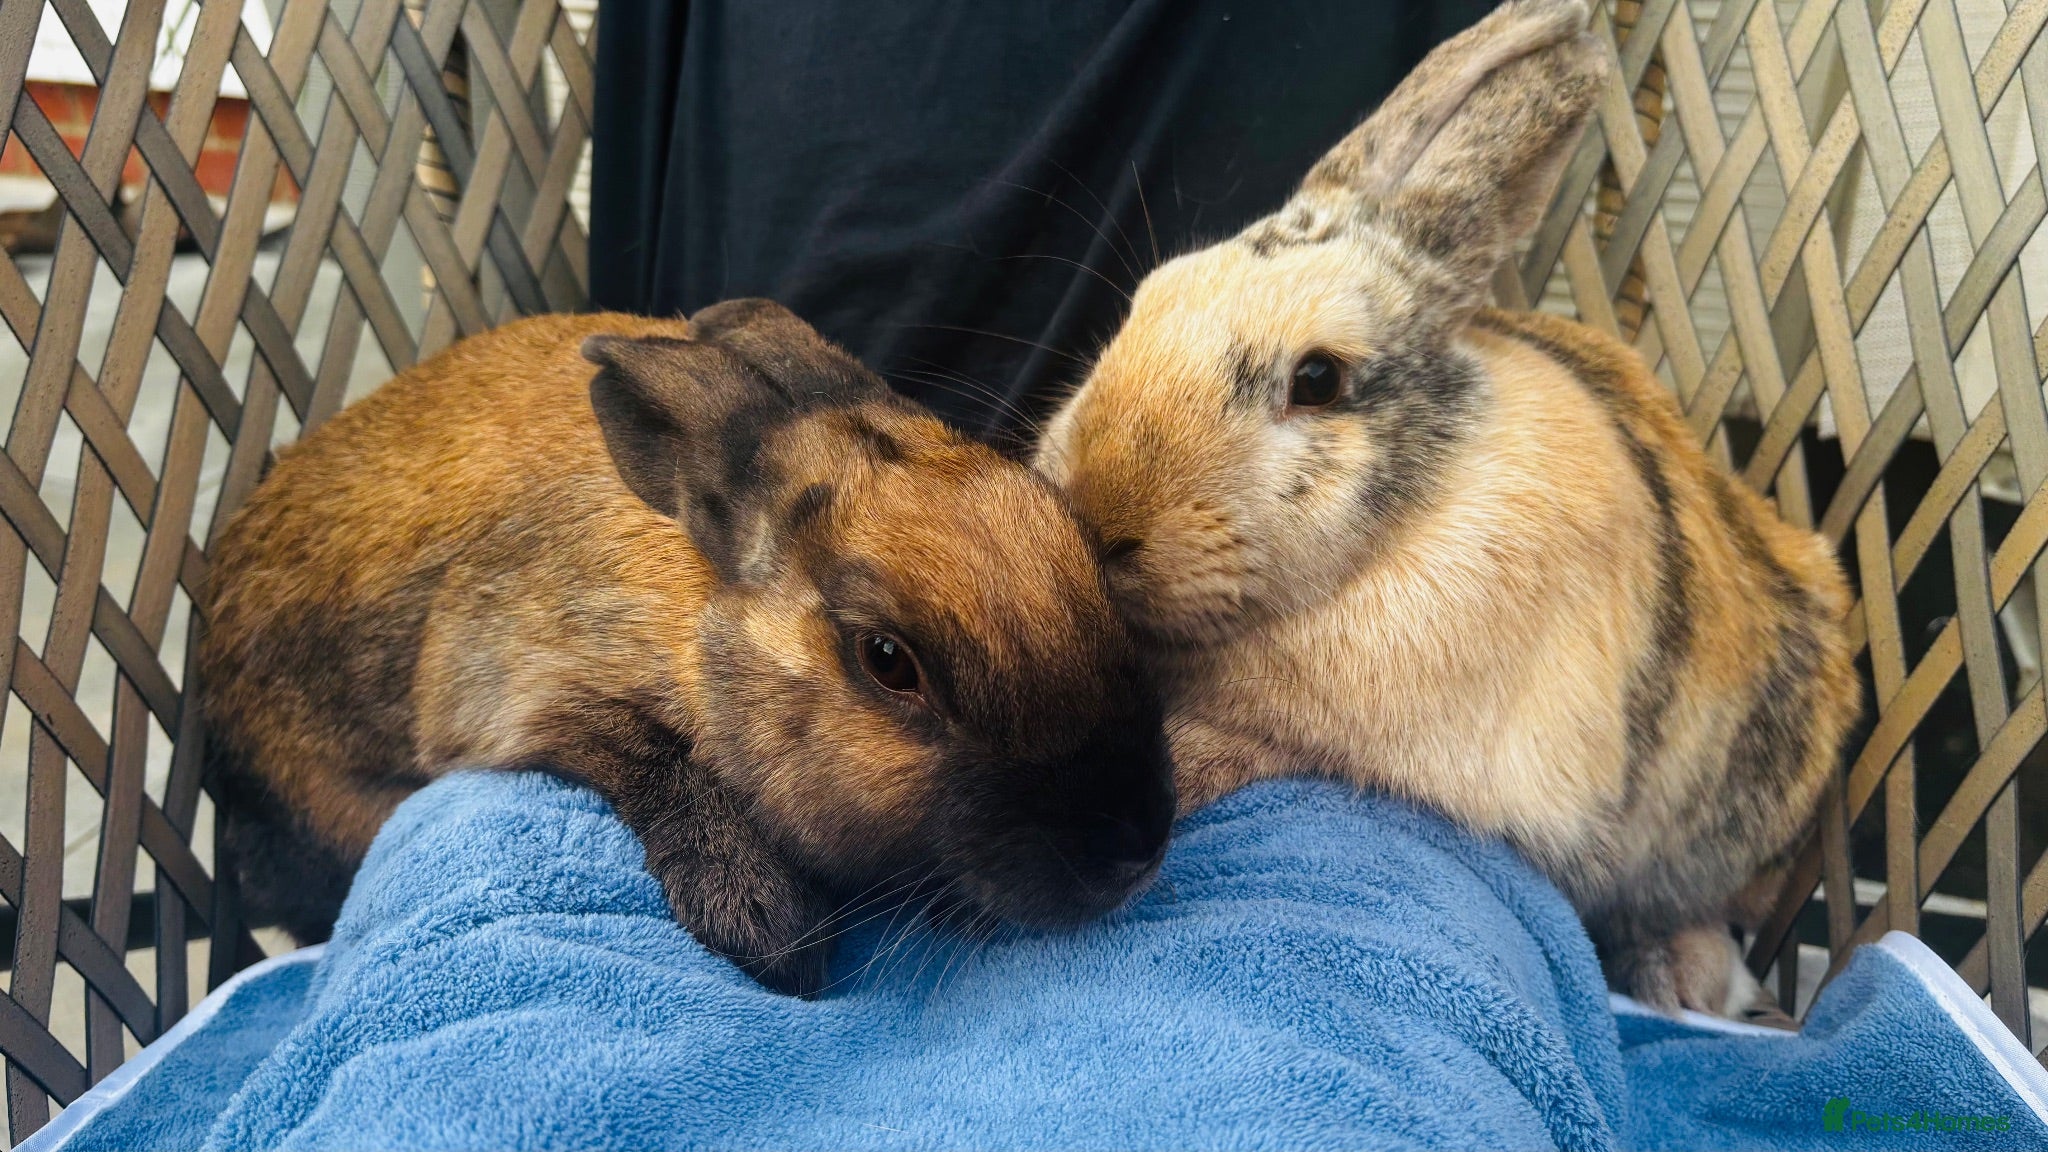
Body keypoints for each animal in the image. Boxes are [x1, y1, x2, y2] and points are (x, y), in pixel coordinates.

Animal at [199, 299, 1175, 996]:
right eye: (886, 659)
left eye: (1078, 543)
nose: (1134, 848)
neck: (695, 613)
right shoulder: (519, 694)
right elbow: (648, 756)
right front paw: (768, 931)